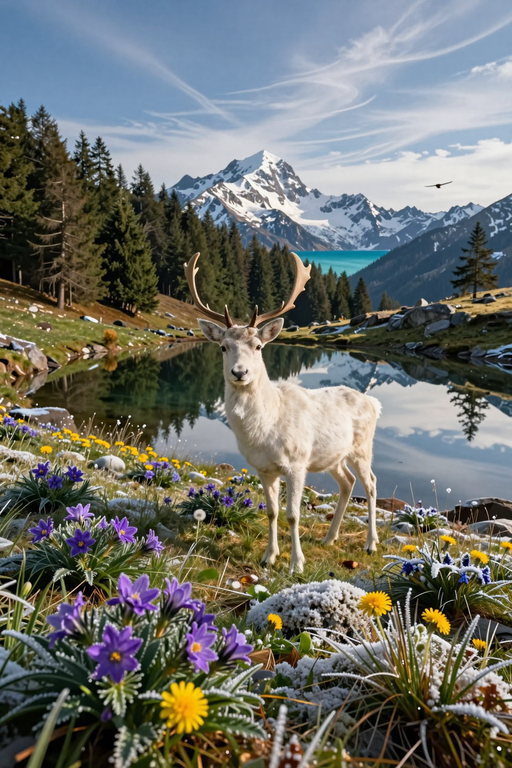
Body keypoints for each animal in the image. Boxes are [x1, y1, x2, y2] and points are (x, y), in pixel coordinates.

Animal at [184, 251, 381, 573]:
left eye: (258, 345)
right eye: (223, 347)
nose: (240, 372)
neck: (265, 430)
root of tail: (374, 403)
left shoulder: (297, 463)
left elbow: (292, 514)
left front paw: (296, 564)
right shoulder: (263, 468)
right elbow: (272, 512)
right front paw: (269, 557)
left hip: (362, 447)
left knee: (372, 484)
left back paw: (370, 544)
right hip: (333, 456)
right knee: (347, 482)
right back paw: (329, 538)